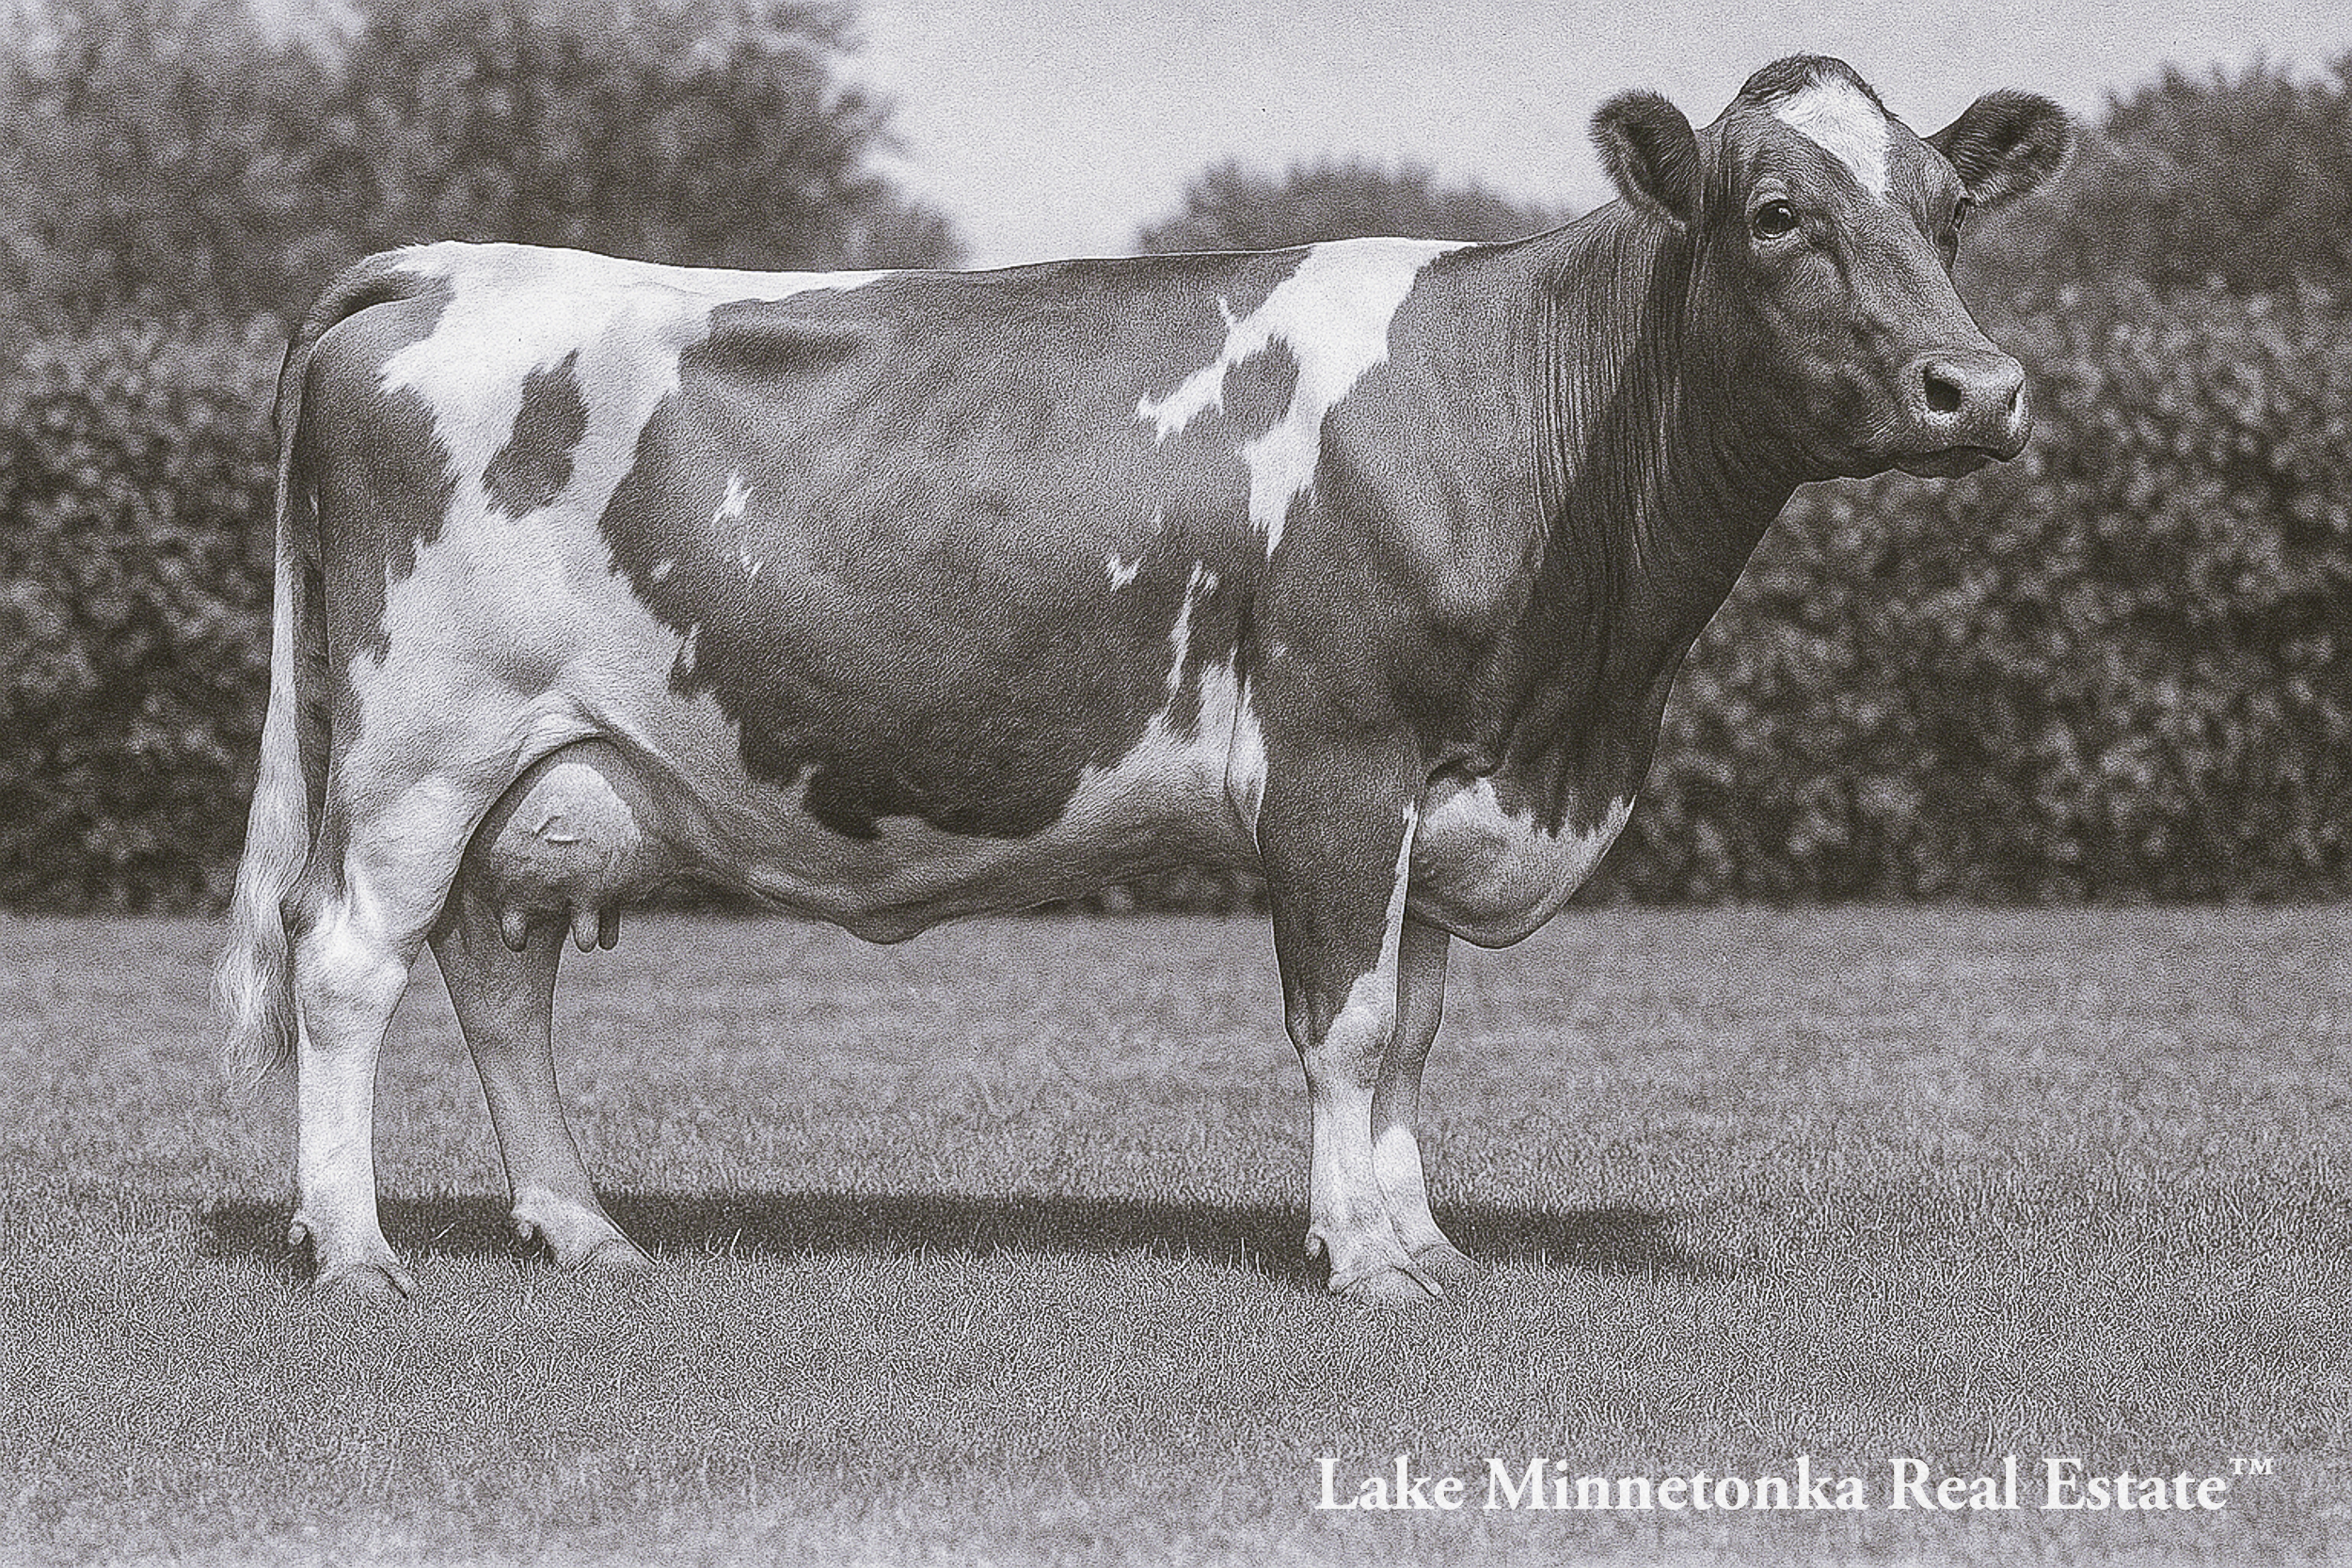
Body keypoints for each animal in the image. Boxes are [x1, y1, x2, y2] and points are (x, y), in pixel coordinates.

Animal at [216, 55, 2069, 1301]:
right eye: (1777, 215)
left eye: (1950, 211)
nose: (1977, 388)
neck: (1586, 697)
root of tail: (451, 262)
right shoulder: (1340, 757)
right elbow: (1348, 1021)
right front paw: (1365, 1259)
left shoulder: (1445, 784)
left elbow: (1414, 1032)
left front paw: (1422, 1235)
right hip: (419, 747)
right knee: (348, 966)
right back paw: (358, 1250)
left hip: (543, 777)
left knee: (498, 976)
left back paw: (582, 1224)